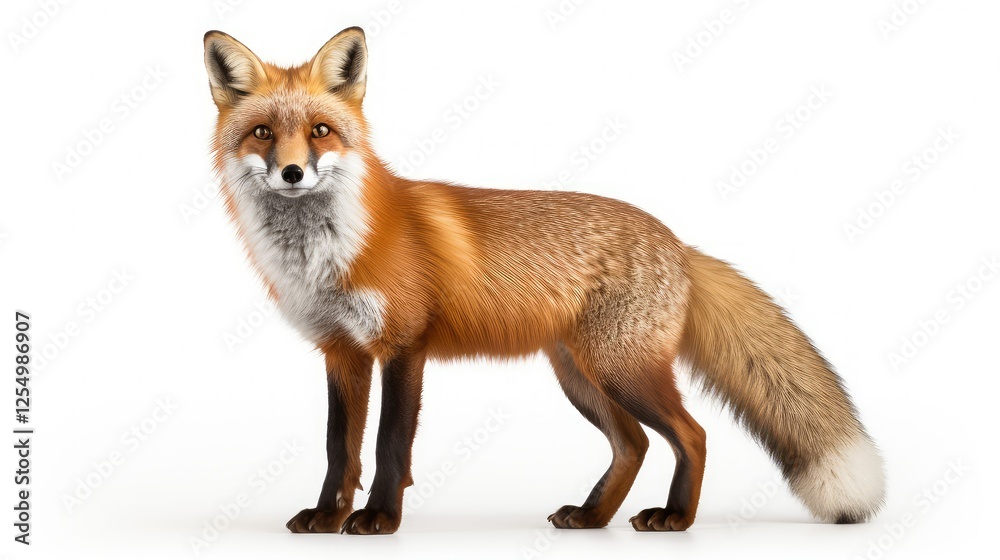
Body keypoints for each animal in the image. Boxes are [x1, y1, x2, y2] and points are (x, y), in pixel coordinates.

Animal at [203, 27, 886, 535]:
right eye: (263, 132)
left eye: (320, 131)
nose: (293, 172)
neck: (328, 252)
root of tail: (676, 242)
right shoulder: (341, 352)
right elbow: (338, 448)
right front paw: (327, 516)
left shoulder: (403, 347)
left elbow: (390, 445)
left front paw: (379, 520)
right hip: (580, 377)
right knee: (633, 445)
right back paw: (591, 516)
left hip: (622, 370)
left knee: (690, 434)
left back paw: (676, 518)